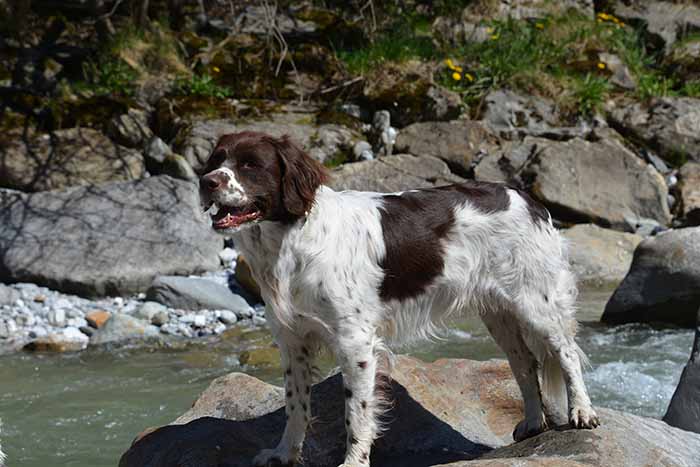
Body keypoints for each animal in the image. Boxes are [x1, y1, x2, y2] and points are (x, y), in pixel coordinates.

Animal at [200, 131, 600, 467]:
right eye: (215, 160)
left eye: (251, 164)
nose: (207, 182)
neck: (291, 239)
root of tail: (529, 199)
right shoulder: (292, 340)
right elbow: (295, 405)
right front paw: (284, 454)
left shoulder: (355, 342)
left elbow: (356, 412)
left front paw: (353, 462)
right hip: (499, 313)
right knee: (525, 363)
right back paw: (533, 423)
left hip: (536, 302)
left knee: (565, 353)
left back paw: (582, 412)